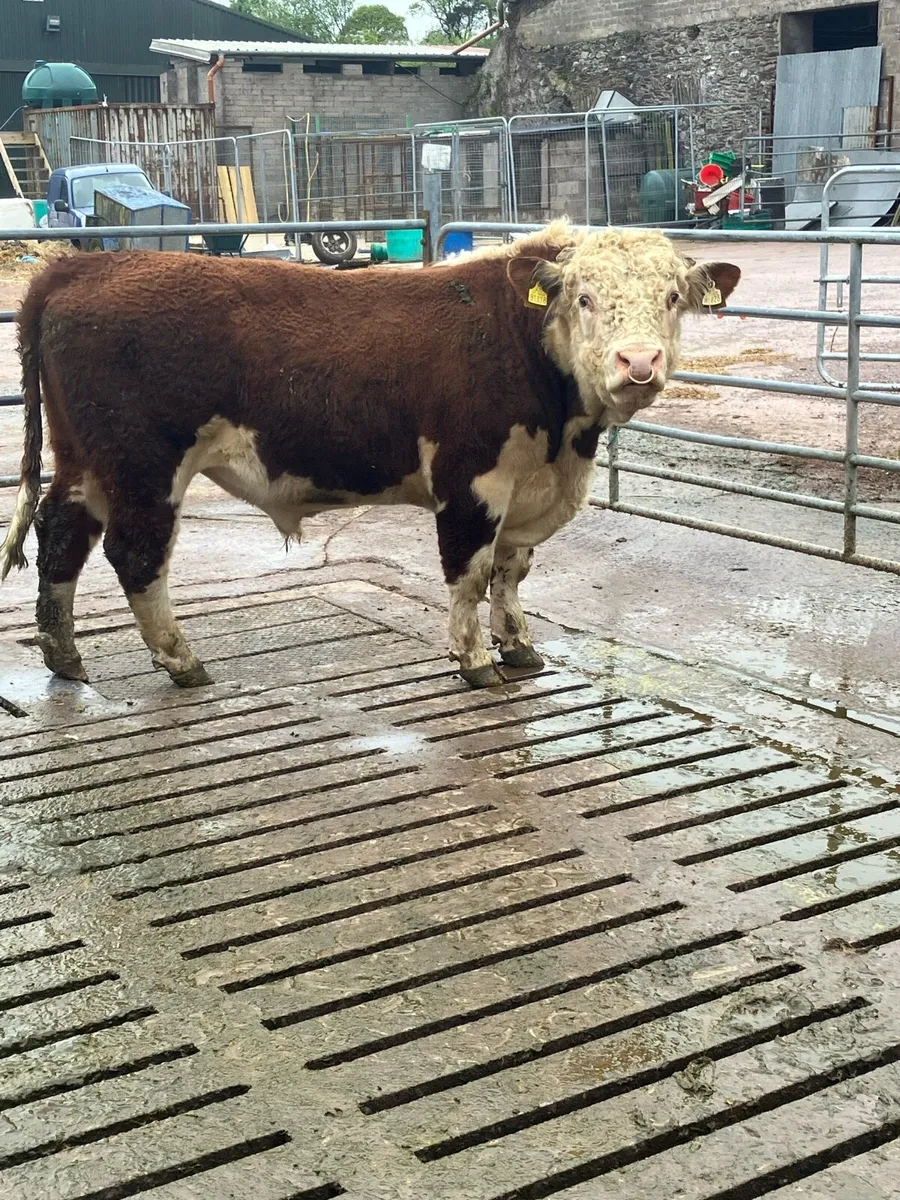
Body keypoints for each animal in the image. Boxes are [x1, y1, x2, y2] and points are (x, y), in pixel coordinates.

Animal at [0, 222, 740, 689]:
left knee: (62, 534)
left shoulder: (530, 490)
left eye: (672, 297)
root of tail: (84, 264)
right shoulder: (471, 480)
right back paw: (182, 662)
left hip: (86, 461)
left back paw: (64, 655)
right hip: (145, 465)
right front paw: (474, 660)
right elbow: (470, 573)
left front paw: (519, 646)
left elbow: (511, 572)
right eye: (584, 297)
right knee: (135, 555)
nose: (638, 363)